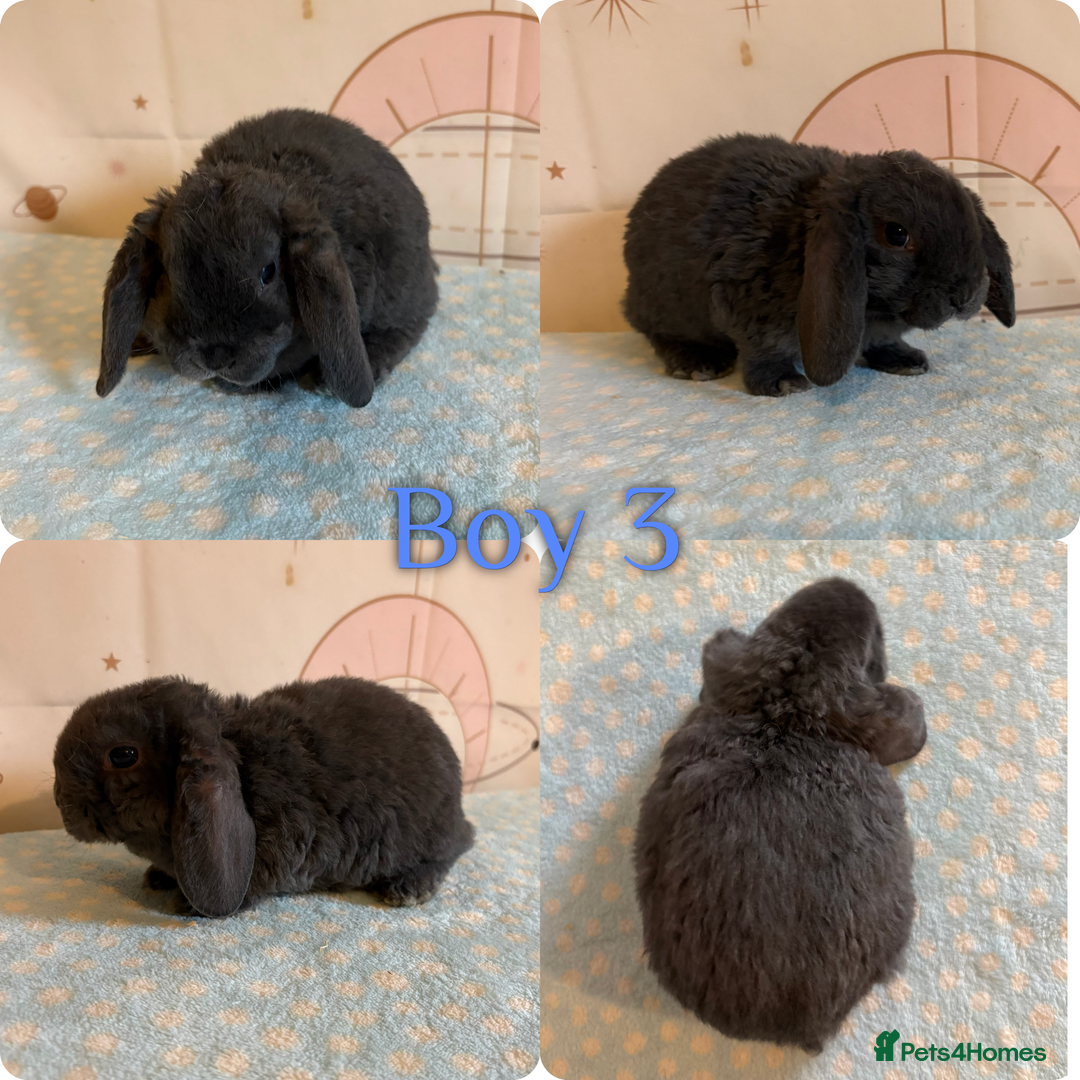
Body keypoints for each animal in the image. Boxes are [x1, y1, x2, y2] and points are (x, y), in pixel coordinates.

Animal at [53, 675, 474, 917]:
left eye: (123, 755)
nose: (59, 801)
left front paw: (184, 904)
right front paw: (157, 878)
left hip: (426, 834)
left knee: (456, 848)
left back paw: (409, 889)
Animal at [622, 133, 1015, 396]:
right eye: (897, 234)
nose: (965, 296)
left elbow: (883, 341)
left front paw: (906, 361)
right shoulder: (744, 308)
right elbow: (766, 349)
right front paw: (782, 383)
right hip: (666, 305)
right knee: (656, 332)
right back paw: (696, 363)